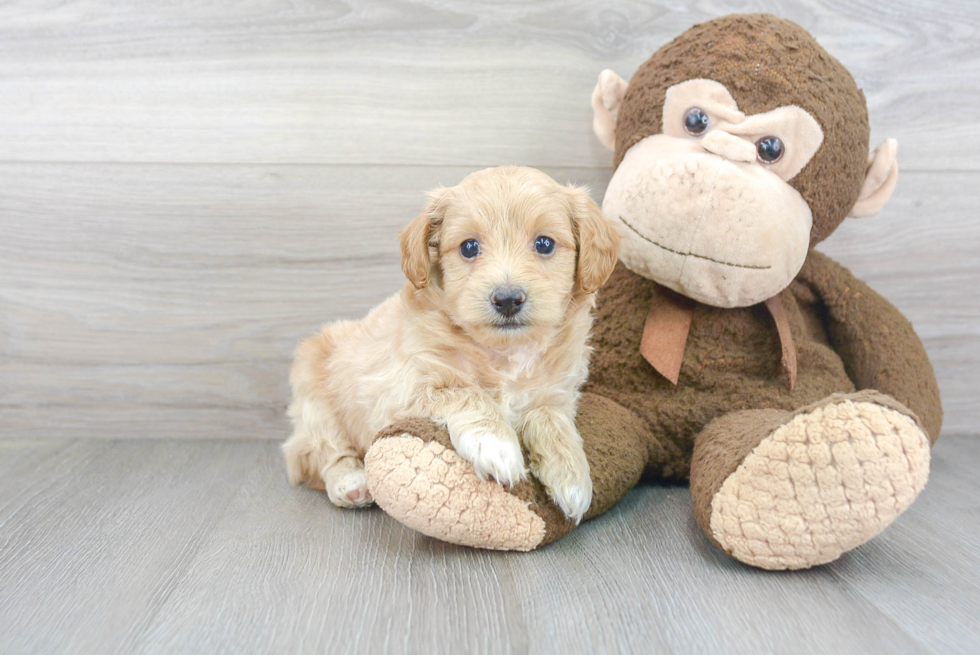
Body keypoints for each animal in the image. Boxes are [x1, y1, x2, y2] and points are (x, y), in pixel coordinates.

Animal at [284, 165, 616, 524]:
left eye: (544, 244)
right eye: (469, 247)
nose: (507, 299)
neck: (506, 353)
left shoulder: (556, 394)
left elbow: (551, 419)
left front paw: (573, 477)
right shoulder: (403, 387)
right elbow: (464, 392)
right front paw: (497, 444)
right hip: (313, 394)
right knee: (317, 452)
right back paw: (350, 481)